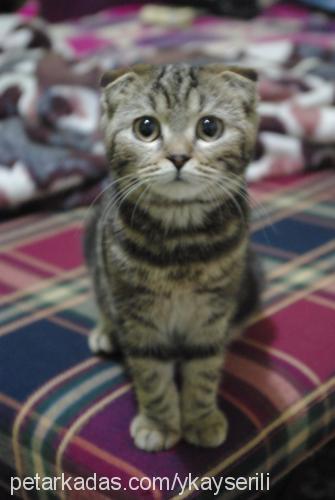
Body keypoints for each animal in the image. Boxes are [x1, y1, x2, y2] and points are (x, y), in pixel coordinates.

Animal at [84, 63, 262, 454]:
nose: (178, 157)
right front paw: (160, 423)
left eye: (209, 128)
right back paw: (105, 330)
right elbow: (150, 372)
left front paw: (201, 419)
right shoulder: (135, 311)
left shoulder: (212, 311)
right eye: (146, 128)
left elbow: (205, 366)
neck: (181, 244)